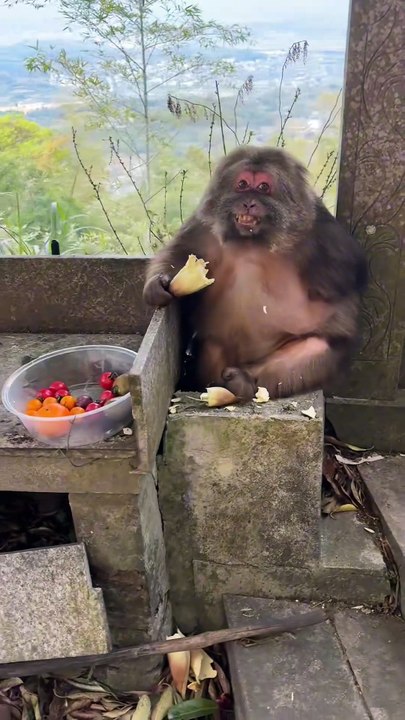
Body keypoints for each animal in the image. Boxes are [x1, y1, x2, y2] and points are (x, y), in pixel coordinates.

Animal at [143, 145, 368, 403]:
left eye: (262, 187)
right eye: (242, 184)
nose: (249, 203)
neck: (252, 241)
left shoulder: (320, 230)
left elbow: (353, 274)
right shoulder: (203, 226)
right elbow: (179, 253)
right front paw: (158, 284)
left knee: (316, 347)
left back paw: (243, 380)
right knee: (212, 346)